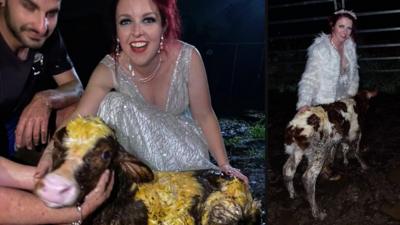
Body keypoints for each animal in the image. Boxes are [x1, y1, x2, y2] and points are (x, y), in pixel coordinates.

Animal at [282, 90, 376, 220]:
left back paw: (292, 194)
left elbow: (340, 149)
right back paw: (316, 212)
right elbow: (356, 151)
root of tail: (294, 126)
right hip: (319, 151)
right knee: (308, 177)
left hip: (298, 151)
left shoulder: (339, 137)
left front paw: (341, 162)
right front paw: (364, 165)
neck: (356, 102)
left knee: (287, 170)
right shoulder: (354, 133)